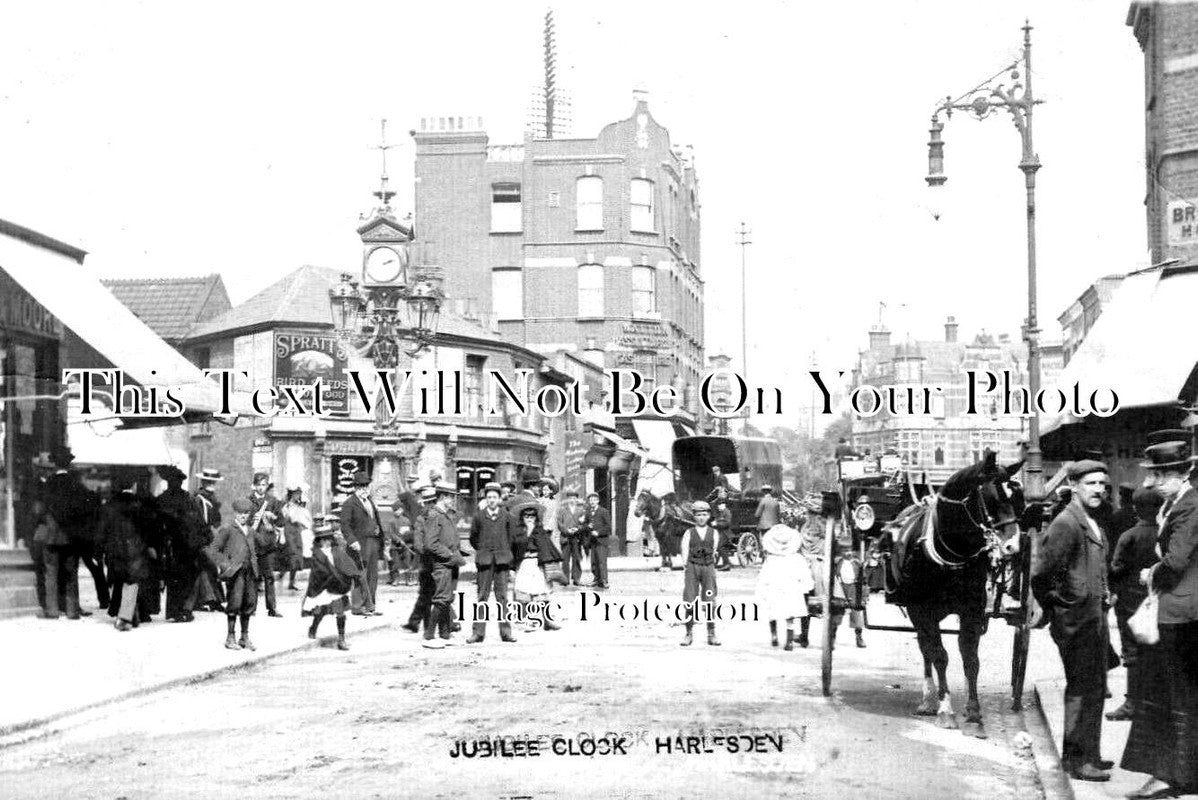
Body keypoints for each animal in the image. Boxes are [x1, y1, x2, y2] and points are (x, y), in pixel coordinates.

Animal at [876, 452, 1025, 742]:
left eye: (1017, 498)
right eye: (990, 497)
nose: (1013, 546)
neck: (951, 551)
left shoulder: (972, 611)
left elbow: (970, 660)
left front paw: (974, 715)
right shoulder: (922, 609)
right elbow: (940, 656)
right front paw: (946, 711)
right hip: (917, 610)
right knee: (927, 649)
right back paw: (928, 701)